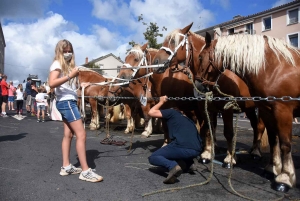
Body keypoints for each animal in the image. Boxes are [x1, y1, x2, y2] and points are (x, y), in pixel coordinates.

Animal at [151, 22, 266, 168]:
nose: (156, 62)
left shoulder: (227, 109)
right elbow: (208, 130)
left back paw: (256, 152)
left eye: (173, 41)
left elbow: (228, 133)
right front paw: (207, 154)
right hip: (249, 109)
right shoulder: (206, 108)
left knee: (258, 126)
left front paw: (230, 158)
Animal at [193, 31, 298, 192]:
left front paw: (285, 178)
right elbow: (274, 140)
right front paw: (272, 168)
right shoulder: (267, 111)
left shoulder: (283, 111)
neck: (276, 68)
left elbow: (285, 144)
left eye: (200, 57)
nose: (198, 85)